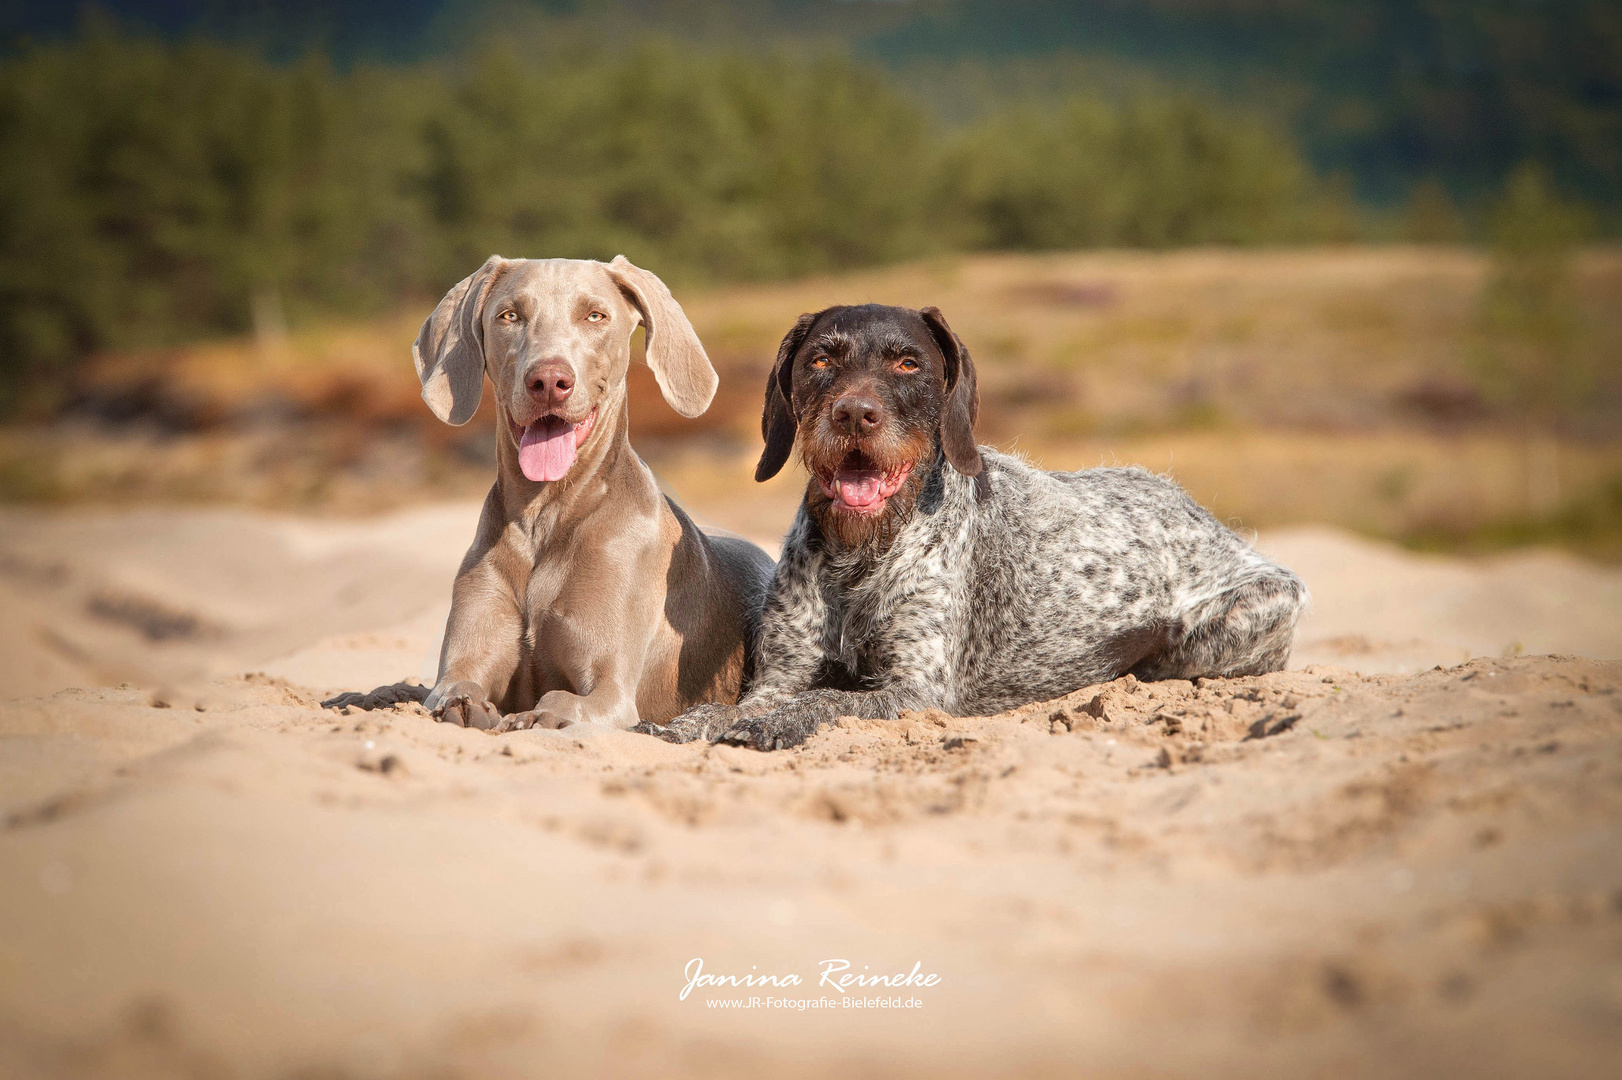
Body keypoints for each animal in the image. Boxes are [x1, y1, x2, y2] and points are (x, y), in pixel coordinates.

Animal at [394, 252, 778, 726]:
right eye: (509, 316)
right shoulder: (461, 663)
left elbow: (560, 700)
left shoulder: (610, 692)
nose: (548, 381)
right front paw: (466, 707)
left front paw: (533, 717)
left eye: (595, 316)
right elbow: (455, 689)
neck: (545, 515)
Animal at [632, 298, 1304, 745]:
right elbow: (738, 706)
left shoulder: (915, 689)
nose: (854, 413)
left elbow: (824, 701)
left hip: (1247, 613)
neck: (861, 556)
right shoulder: (777, 676)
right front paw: (693, 722)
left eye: (908, 365)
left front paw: (772, 725)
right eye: (821, 359)